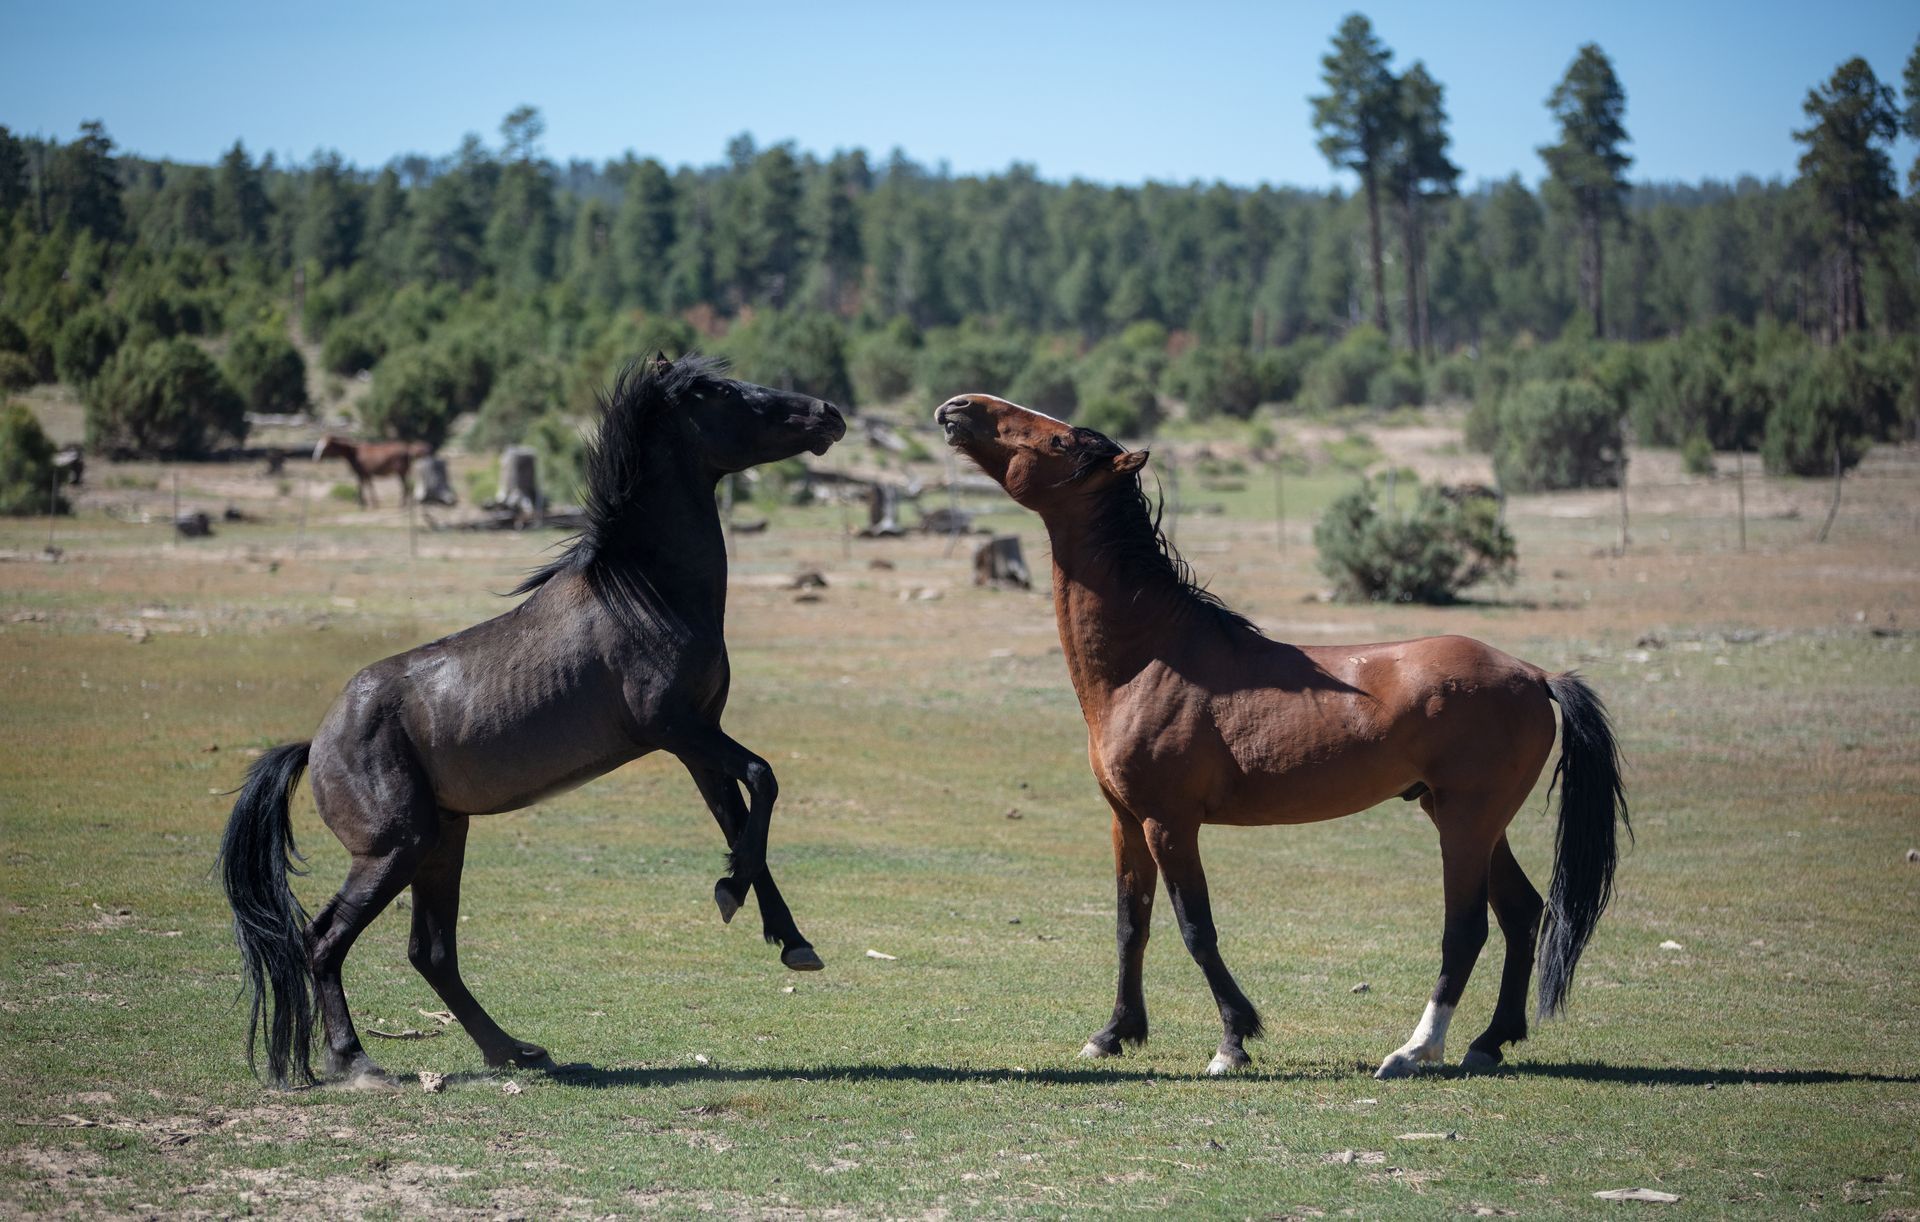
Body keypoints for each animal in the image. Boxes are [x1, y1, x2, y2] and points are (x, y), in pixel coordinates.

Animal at [220, 355, 846, 1087]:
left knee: (430, 952)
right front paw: (733, 897)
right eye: (719, 392)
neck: (647, 595)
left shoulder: (697, 744)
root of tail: (315, 744)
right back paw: (357, 1061)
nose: (829, 413)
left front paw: (786, 936)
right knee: (324, 939)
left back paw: (515, 1050)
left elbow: (744, 819)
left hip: (443, 841)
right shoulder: (676, 730)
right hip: (395, 849)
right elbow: (764, 777)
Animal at [934, 394, 1628, 1079]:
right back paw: (1489, 1041)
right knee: (1522, 914)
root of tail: (1534, 675)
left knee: (1466, 930)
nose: (958, 407)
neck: (1152, 661)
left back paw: (1414, 1051)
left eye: (1058, 441)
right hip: (1471, 820)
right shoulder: (1126, 822)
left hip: (1464, 825)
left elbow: (1196, 929)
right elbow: (1132, 926)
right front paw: (1114, 1034)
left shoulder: (1169, 824)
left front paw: (1232, 1041)